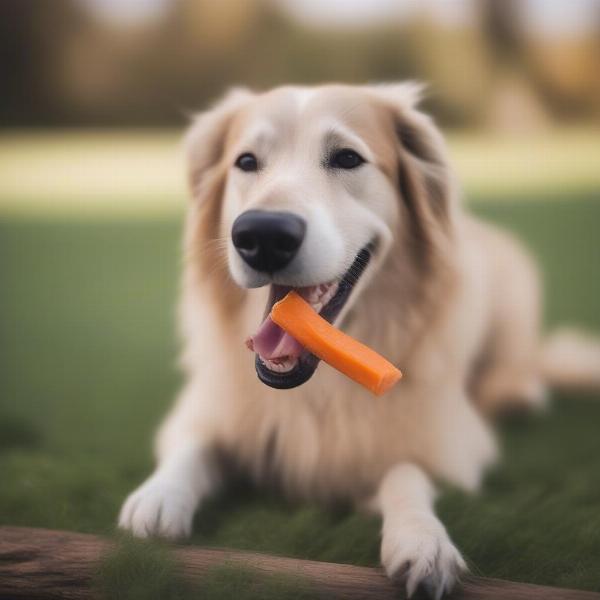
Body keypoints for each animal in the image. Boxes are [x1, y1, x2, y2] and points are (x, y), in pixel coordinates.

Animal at [118, 82, 600, 596]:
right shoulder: (201, 411)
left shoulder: (449, 442)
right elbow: (193, 450)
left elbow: (405, 472)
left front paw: (423, 541)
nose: (262, 235)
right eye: (246, 161)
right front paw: (158, 498)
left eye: (347, 158)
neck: (316, 390)